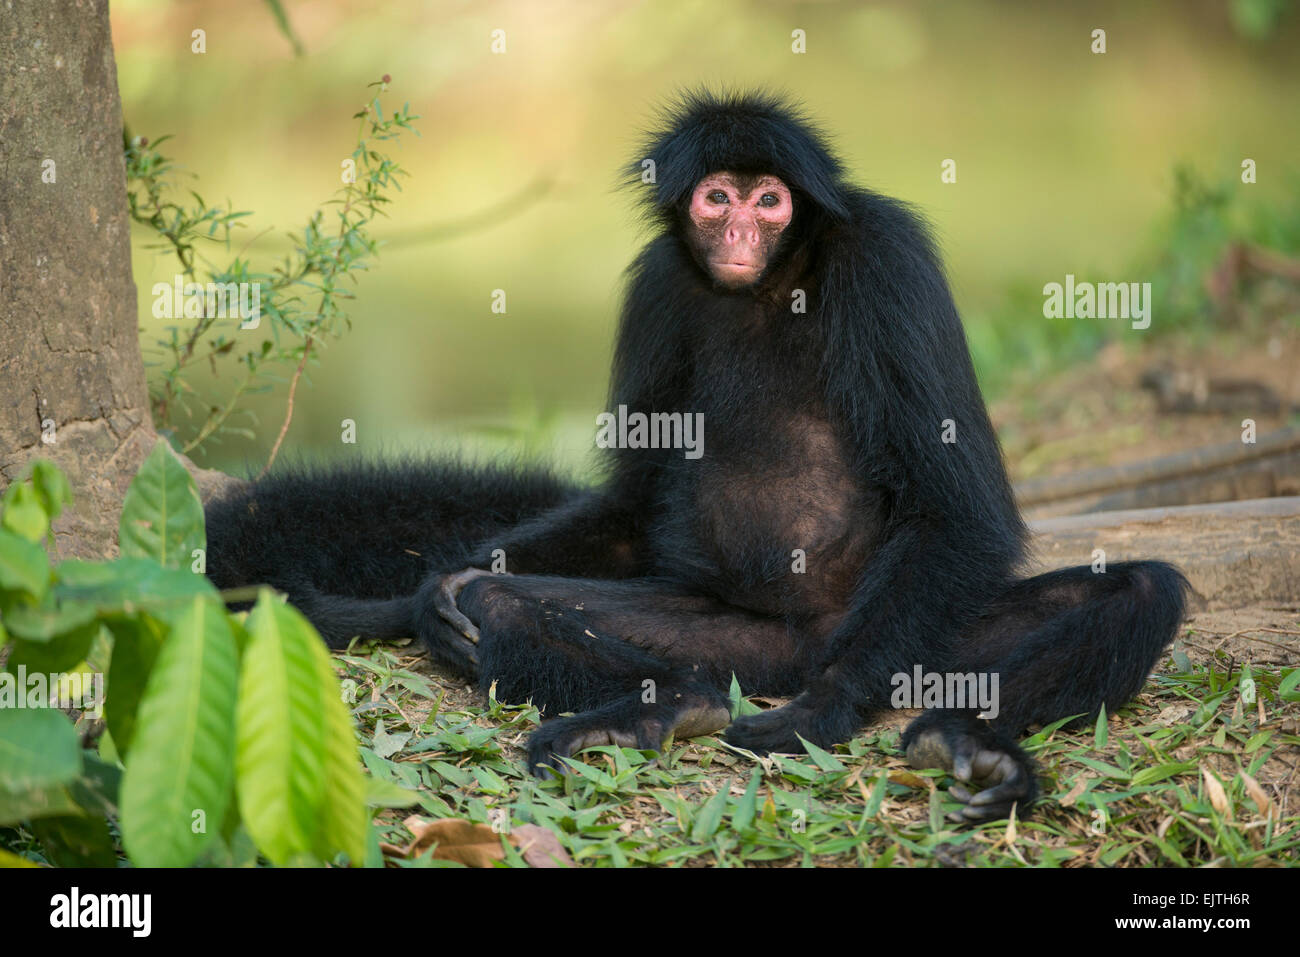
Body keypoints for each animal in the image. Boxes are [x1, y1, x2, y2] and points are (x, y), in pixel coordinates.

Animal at [208, 93, 1190, 816]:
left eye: (770, 200)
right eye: (718, 198)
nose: (742, 232)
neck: (773, 283)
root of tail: (806, 639)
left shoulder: (887, 257)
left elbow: (962, 508)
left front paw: (829, 708)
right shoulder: (659, 280)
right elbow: (631, 499)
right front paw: (431, 590)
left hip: (917, 629)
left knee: (1139, 591)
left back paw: (962, 738)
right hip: (734, 637)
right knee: (513, 607)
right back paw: (665, 706)